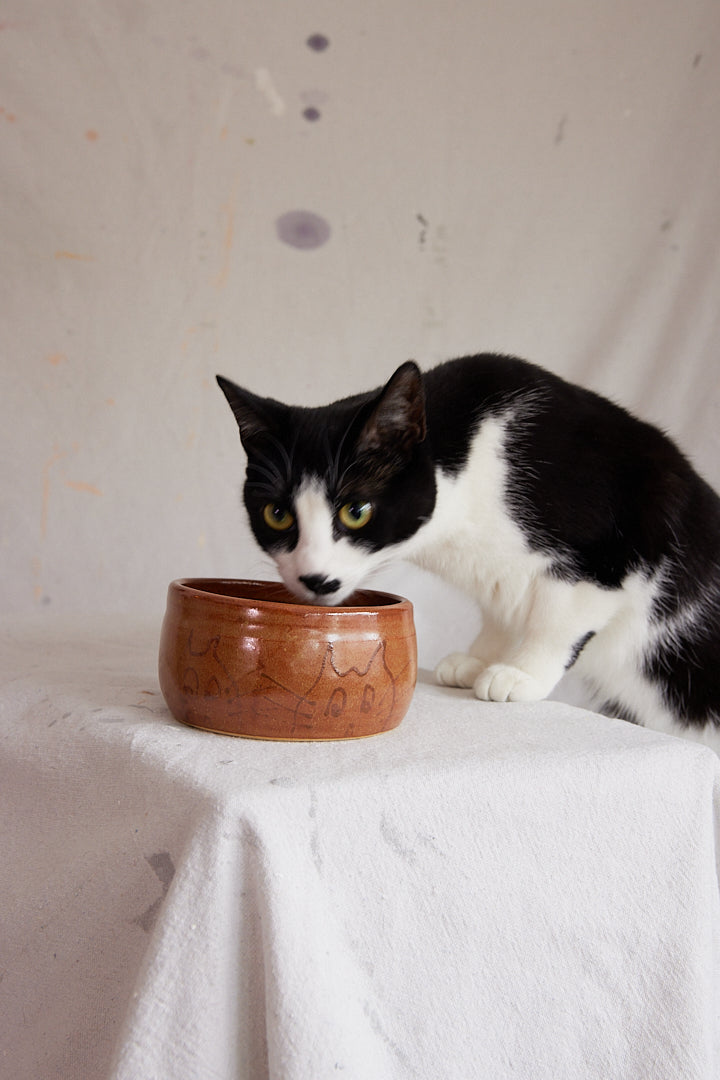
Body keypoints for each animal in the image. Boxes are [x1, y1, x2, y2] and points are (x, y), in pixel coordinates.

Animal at [216, 354, 720, 751]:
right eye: (277, 514)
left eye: (356, 511)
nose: (315, 579)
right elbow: (503, 603)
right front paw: (481, 657)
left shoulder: (617, 546)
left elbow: (558, 615)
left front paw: (522, 671)